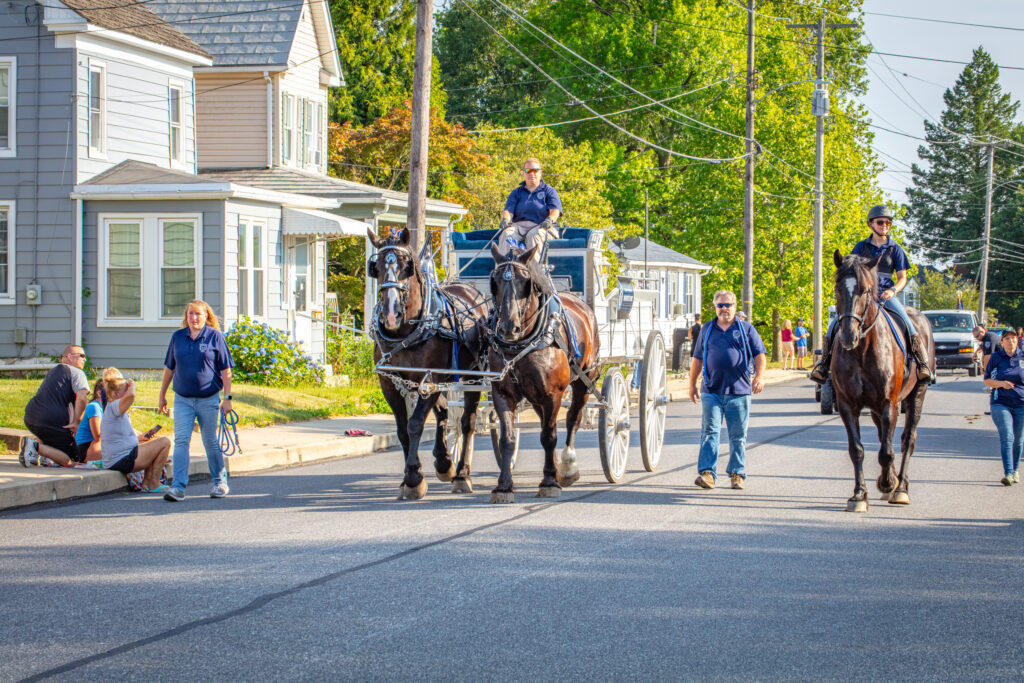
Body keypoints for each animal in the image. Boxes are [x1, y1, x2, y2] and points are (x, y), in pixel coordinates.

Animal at [368, 227, 487, 499]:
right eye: (375, 268)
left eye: (406, 266)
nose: (390, 314)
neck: (405, 333)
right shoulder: (389, 382)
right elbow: (403, 429)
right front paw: (411, 477)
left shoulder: (430, 378)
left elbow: (415, 425)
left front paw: (414, 479)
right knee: (444, 413)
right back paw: (444, 462)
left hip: (474, 375)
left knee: (467, 422)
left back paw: (462, 474)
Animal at [485, 245, 598, 501]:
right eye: (495, 281)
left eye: (525, 282)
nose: (508, 328)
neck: (521, 344)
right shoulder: (502, 393)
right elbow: (507, 439)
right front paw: (504, 485)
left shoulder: (553, 394)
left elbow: (548, 436)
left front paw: (548, 481)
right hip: (535, 396)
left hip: (584, 381)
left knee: (572, 419)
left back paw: (567, 466)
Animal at [831, 250, 937, 511]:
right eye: (838, 289)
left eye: (866, 290)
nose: (848, 336)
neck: (862, 351)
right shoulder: (847, 404)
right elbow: (857, 449)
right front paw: (859, 495)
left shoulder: (890, 403)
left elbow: (887, 451)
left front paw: (890, 484)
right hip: (876, 408)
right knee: (883, 437)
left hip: (917, 394)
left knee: (907, 439)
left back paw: (900, 487)